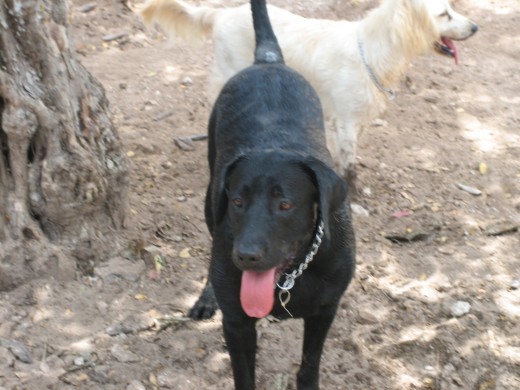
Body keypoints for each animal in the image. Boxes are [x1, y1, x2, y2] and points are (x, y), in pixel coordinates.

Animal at [140, 0, 478, 180]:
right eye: (444, 14)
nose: (476, 27)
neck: (372, 51)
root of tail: (222, 13)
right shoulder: (345, 120)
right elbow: (348, 163)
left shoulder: (348, 120)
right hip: (230, 77)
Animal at [192, 0, 358, 386]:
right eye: (238, 202)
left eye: (285, 205)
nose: (246, 255)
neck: (289, 277)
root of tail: (268, 61)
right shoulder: (237, 324)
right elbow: (244, 377)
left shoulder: (325, 310)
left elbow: (309, 365)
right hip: (210, 198)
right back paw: (207, 295)